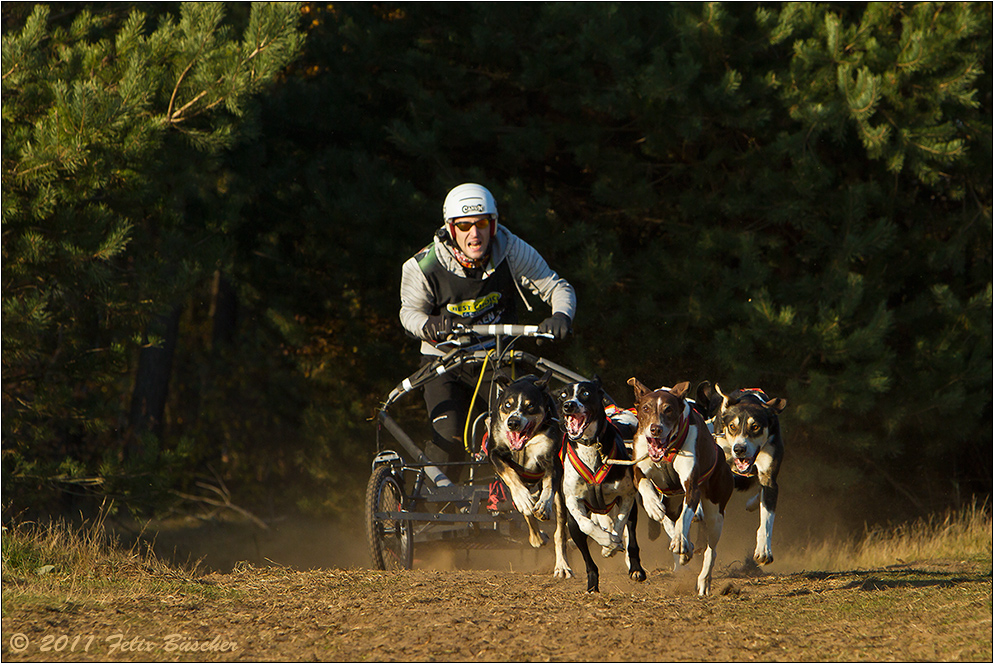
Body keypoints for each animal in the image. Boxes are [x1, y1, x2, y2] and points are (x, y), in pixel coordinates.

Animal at [486, 370, 568, 580]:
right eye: (508, 404)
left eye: (530, 405)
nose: (513, 423)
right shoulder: (495, 454)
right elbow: (510, 475)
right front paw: (523, 498)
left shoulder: (552, 461)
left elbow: (549, 486)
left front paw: (544, 505)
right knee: (527, 514)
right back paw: (537, 536)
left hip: (561, 497)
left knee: (559, 533)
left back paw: (562, 565)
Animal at [552, 378, 644, 592]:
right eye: (563, 395)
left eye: (585, 393)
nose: (569, 405)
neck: (590, 446)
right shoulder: (573, 505)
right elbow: (586, 527)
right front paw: (605, 542)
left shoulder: (627, 496)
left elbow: (622, 526)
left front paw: (614, 546)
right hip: (561, 506)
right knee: (561, 534)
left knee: (625, 531)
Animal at [624, 378, 732, 596]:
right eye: (646, 408)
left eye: (669, 410)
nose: (656, 429)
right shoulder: (639, 468)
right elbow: (647, 488)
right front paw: (653, 506)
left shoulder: (691, 485)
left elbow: (685, 517)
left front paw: (681, 541)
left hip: (716, 511)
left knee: (711, 549)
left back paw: (704, 579)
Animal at [696, 384, 784, 564]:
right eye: (732, 426)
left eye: (755, 426)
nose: (739, 449)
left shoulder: (769, 477)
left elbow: (767, 519)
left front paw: (764, 550)